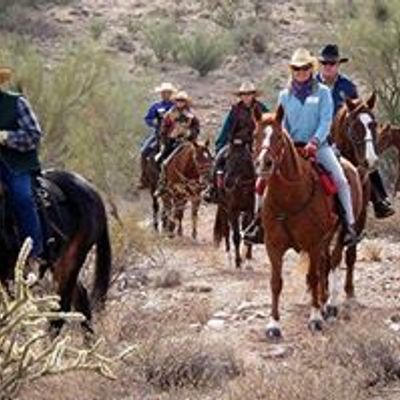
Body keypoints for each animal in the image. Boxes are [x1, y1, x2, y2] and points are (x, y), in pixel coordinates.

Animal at [256, 106, 362, 338]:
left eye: (278, 136)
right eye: (255, 135)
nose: (264, 163)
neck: (290, 197)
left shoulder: (313, 244)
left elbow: (313, 277)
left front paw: (315, 318)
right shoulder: (273, 245)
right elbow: (276, 282)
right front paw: (273, 324)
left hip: (340, 233)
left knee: (334, 261)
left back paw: (330, 305)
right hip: (325, 239)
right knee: (325, 264)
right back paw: (323, 302)